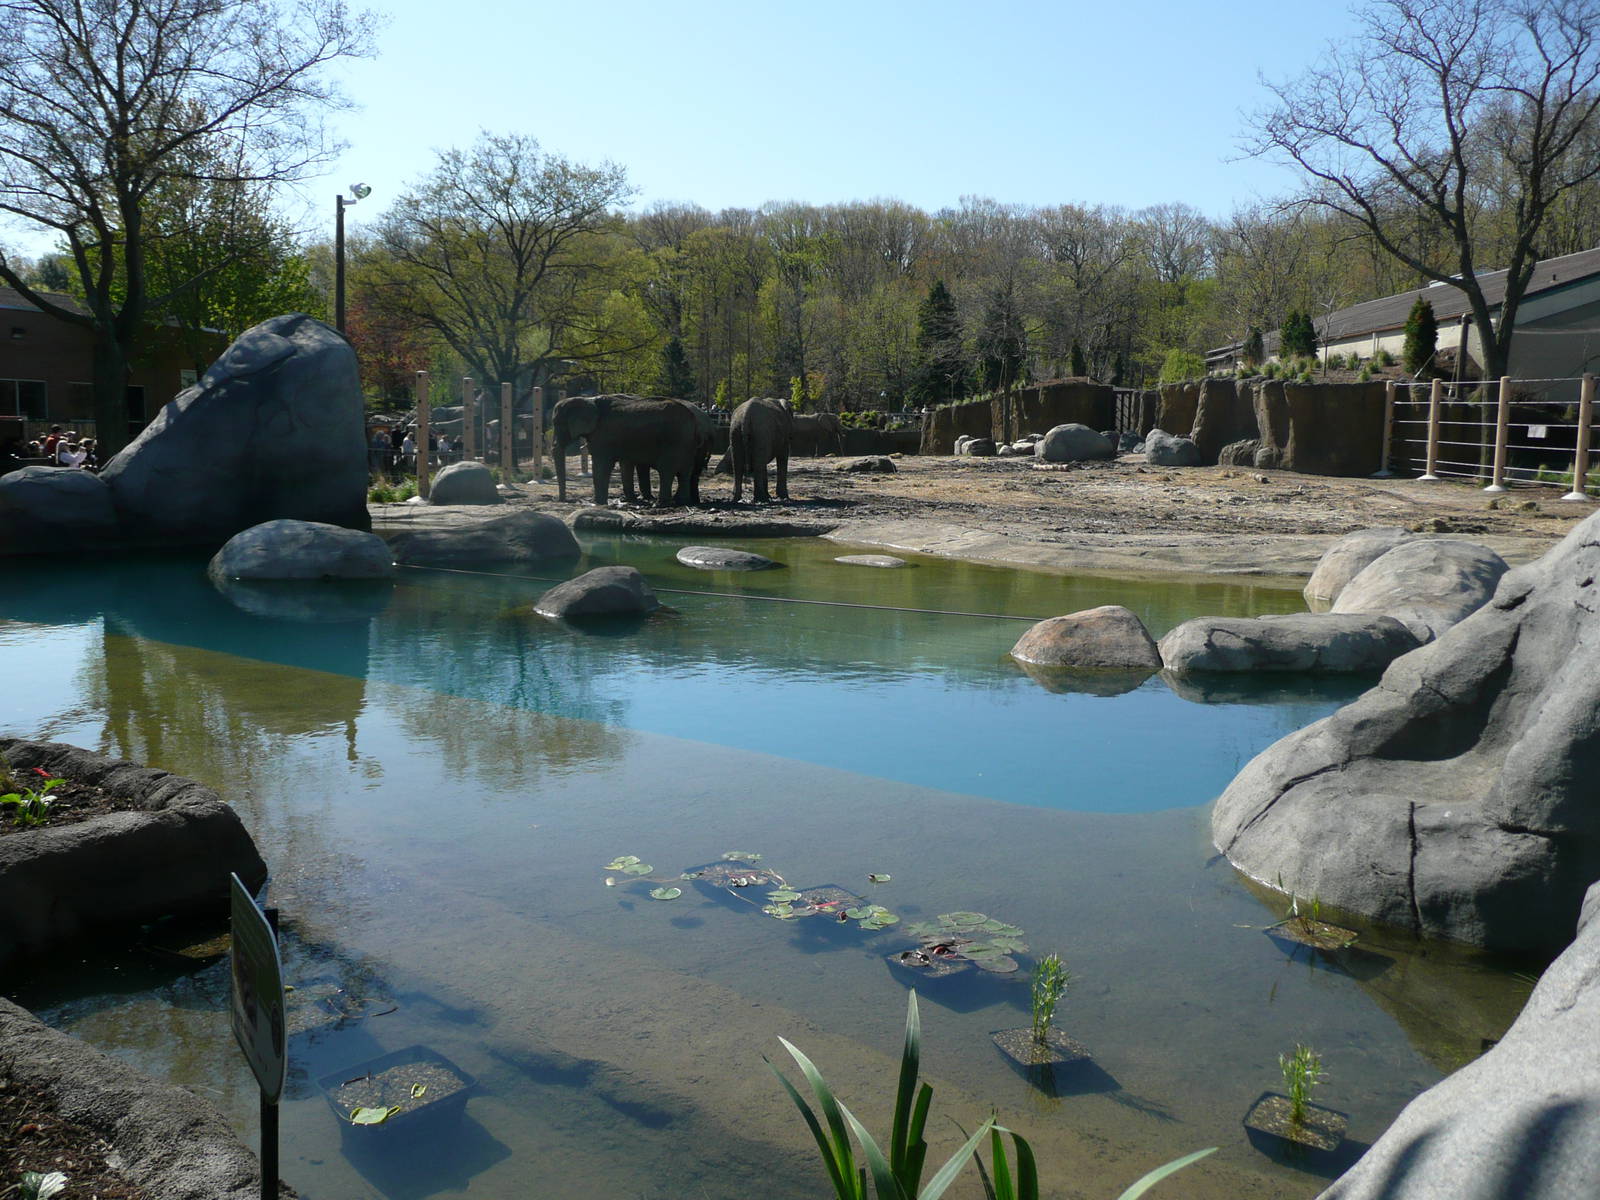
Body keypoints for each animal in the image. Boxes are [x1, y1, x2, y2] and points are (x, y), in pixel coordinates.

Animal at [551, 394, 700, 507]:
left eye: (557, 424)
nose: (563, 500)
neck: (587, 400)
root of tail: (692, 416)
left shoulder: (604, 436)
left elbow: (602, 465)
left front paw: (598, 503)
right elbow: (625, 463)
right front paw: (627, 500)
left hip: (673, 441)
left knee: (666, 470)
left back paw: (659, 504)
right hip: (686, 443)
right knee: (685, 471)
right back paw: (682, 502)